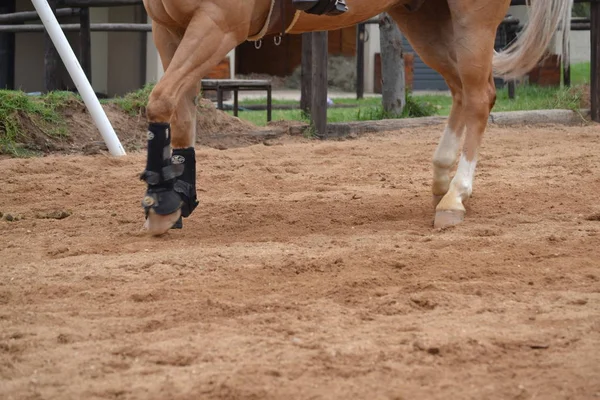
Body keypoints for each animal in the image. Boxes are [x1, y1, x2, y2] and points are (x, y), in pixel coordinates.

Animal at [139, 0, 572, 234]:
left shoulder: (216, 25)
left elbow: (160, 102)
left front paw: (162, 197)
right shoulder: (168, 28)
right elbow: (180, 114)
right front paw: (175, 199)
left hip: (472, 19)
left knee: (479, 96)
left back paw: (455, 196)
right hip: (424, 20)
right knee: (463, 91)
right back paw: (441, 179)